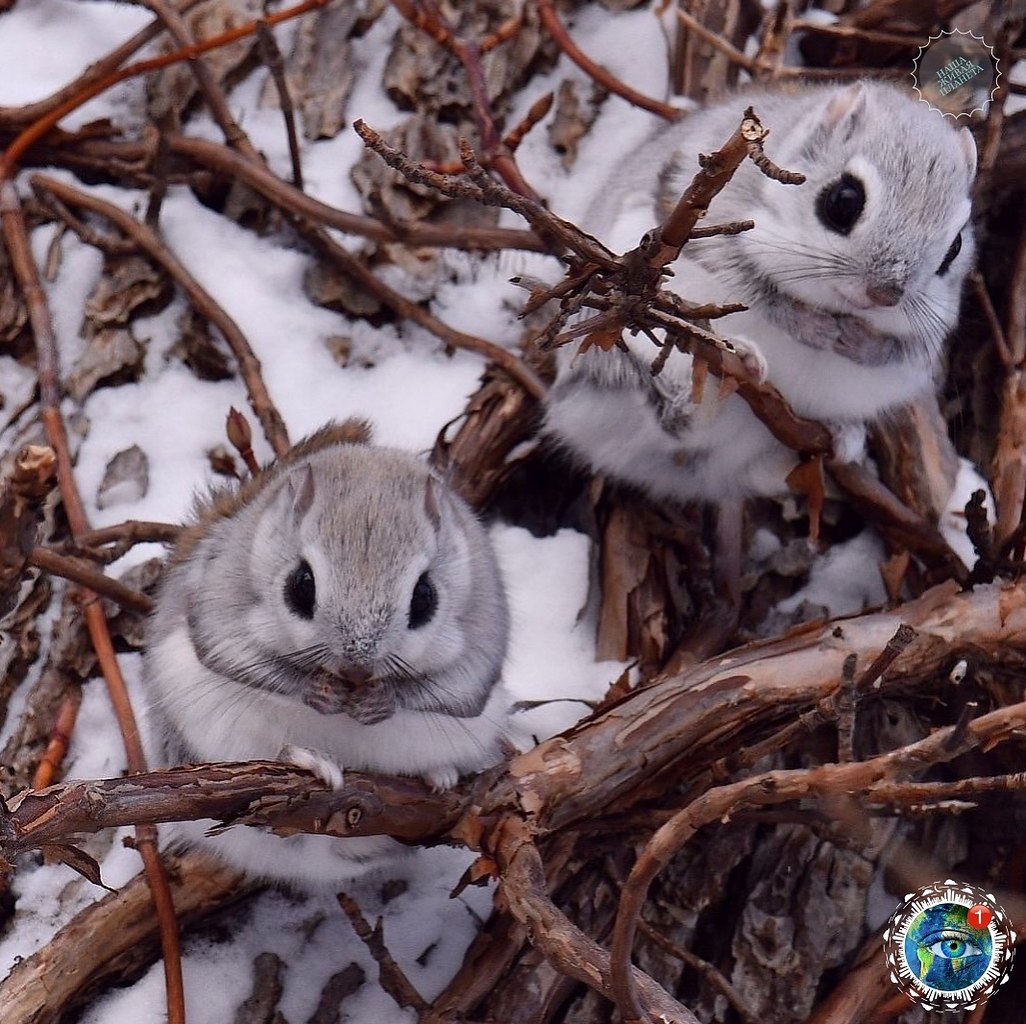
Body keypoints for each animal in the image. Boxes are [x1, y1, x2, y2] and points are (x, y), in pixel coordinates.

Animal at [142, 420, 510, 886]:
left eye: (426, 597)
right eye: (300, 585)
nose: (357, 667)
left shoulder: (482, 633)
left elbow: (455, 690)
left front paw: (380, 701)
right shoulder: (220, 603)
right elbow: (238, 657)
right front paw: (318, 691)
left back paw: (439, 773)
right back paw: (309, 760)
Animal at [545, 83, 976, 504]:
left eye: (955, 247)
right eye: (843, 200)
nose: (884, 294)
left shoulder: (928, 333)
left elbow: (900, 349)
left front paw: (860, 343)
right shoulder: (715, 228)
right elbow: (759, 288)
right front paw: (812, 327)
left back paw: (841, 437)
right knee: (679, 415)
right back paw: (736, 362)